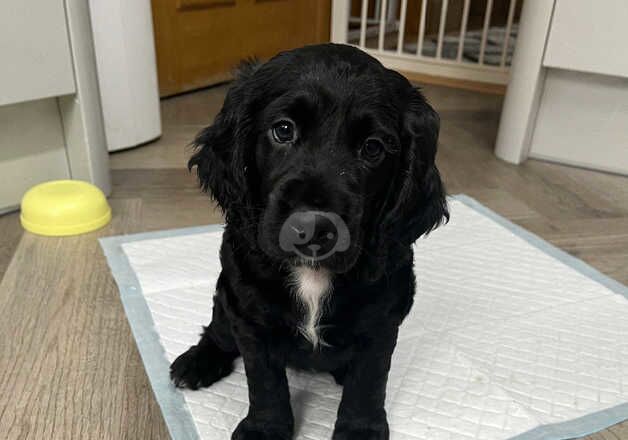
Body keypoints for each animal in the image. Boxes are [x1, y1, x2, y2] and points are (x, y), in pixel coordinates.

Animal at [169, 43, 448, 440]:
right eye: (283, 130)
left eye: (373, 148)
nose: (313, 229)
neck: (312, 275)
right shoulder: (249, 317)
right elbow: (265, 381)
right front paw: (265, 429)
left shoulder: (382, 322)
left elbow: (368, 380)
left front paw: (359, 430)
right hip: (225, 298)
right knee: (217, 331)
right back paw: (198, 362)